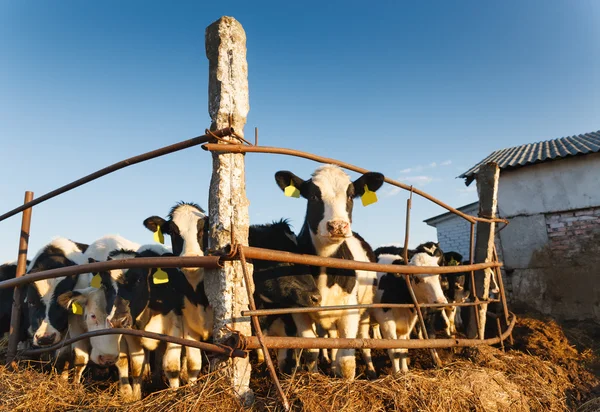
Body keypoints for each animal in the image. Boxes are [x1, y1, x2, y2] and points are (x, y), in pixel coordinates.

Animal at [274, 165, 384, 380]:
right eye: (313, 196)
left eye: (350, 196)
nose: (337, 226)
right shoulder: (299, 309)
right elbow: (312, 350)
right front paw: (314, 377)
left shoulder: (350, 309)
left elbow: (347, 359)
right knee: (331, 339)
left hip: (365, 308)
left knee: (363, 342)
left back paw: (371, 371)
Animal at [372, 241, 448, 374]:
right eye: (416, 278)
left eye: (438, 275)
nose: (440, 301)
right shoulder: (386, 320)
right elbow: (394, 350)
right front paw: (397, 374)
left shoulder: (408, 320)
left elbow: (403, 348)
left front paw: (405, 370)